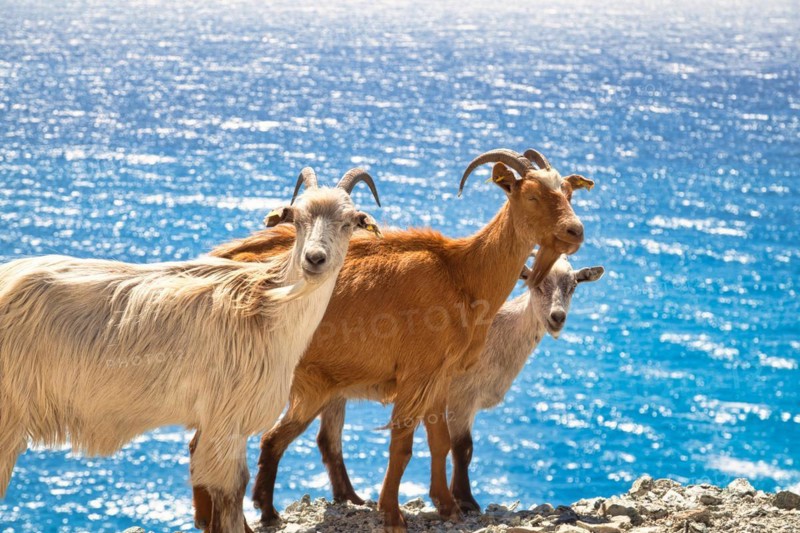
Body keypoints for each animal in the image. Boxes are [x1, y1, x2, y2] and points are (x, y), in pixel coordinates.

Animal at [0, 168, 381, 533]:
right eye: (298, 218)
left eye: (349, 222)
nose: (314, 259)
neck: (264, 306)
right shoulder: (225, 420)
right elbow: (230, 497)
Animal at [193, 147, 594, 532]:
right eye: (532, 195)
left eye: (568, 192)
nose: (575, 231)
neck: (462, 273)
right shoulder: (417, 374)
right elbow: (402, 447)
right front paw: (392, 514)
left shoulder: (441, 376)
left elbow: (440, 442)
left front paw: (448, 507)